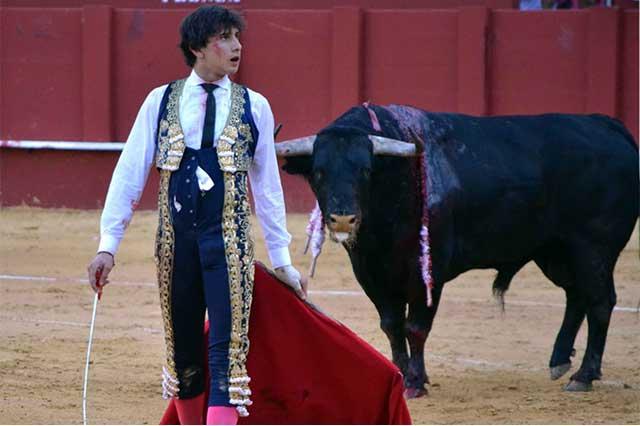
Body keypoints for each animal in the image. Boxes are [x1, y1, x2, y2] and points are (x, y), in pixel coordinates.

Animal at [276, 104, 640, 396]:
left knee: (600, 301)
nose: (342, 219)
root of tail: (608, 126)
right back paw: (560, 362)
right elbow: (392, 325)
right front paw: (402, 374)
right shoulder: (370, 273)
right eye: (318, 172)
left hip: (594, 249)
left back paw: (584, 376)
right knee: (577, 296)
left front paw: (415, 383)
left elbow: (416, 327)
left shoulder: (429, 272)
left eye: (366, 171)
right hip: (556, 251)